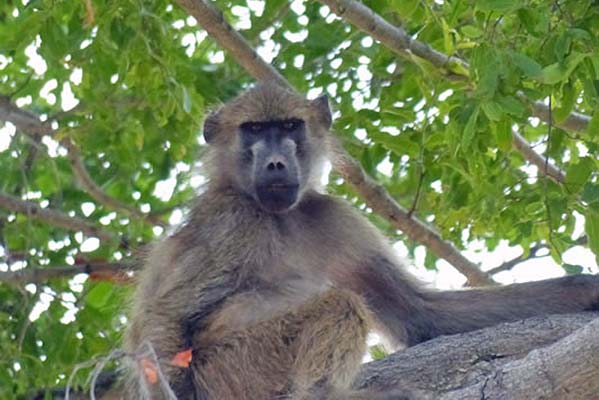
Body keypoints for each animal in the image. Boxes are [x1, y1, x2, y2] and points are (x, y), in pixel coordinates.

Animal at [123, 82, 599, 400]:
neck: (278, 218)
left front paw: (587, 291)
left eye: (289, 126)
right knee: (339, 304)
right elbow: (163, 317)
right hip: (231, 372)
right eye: (254, 129)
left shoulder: (335, 218)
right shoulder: (231, 221)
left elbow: (419, 316)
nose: (276, 162)